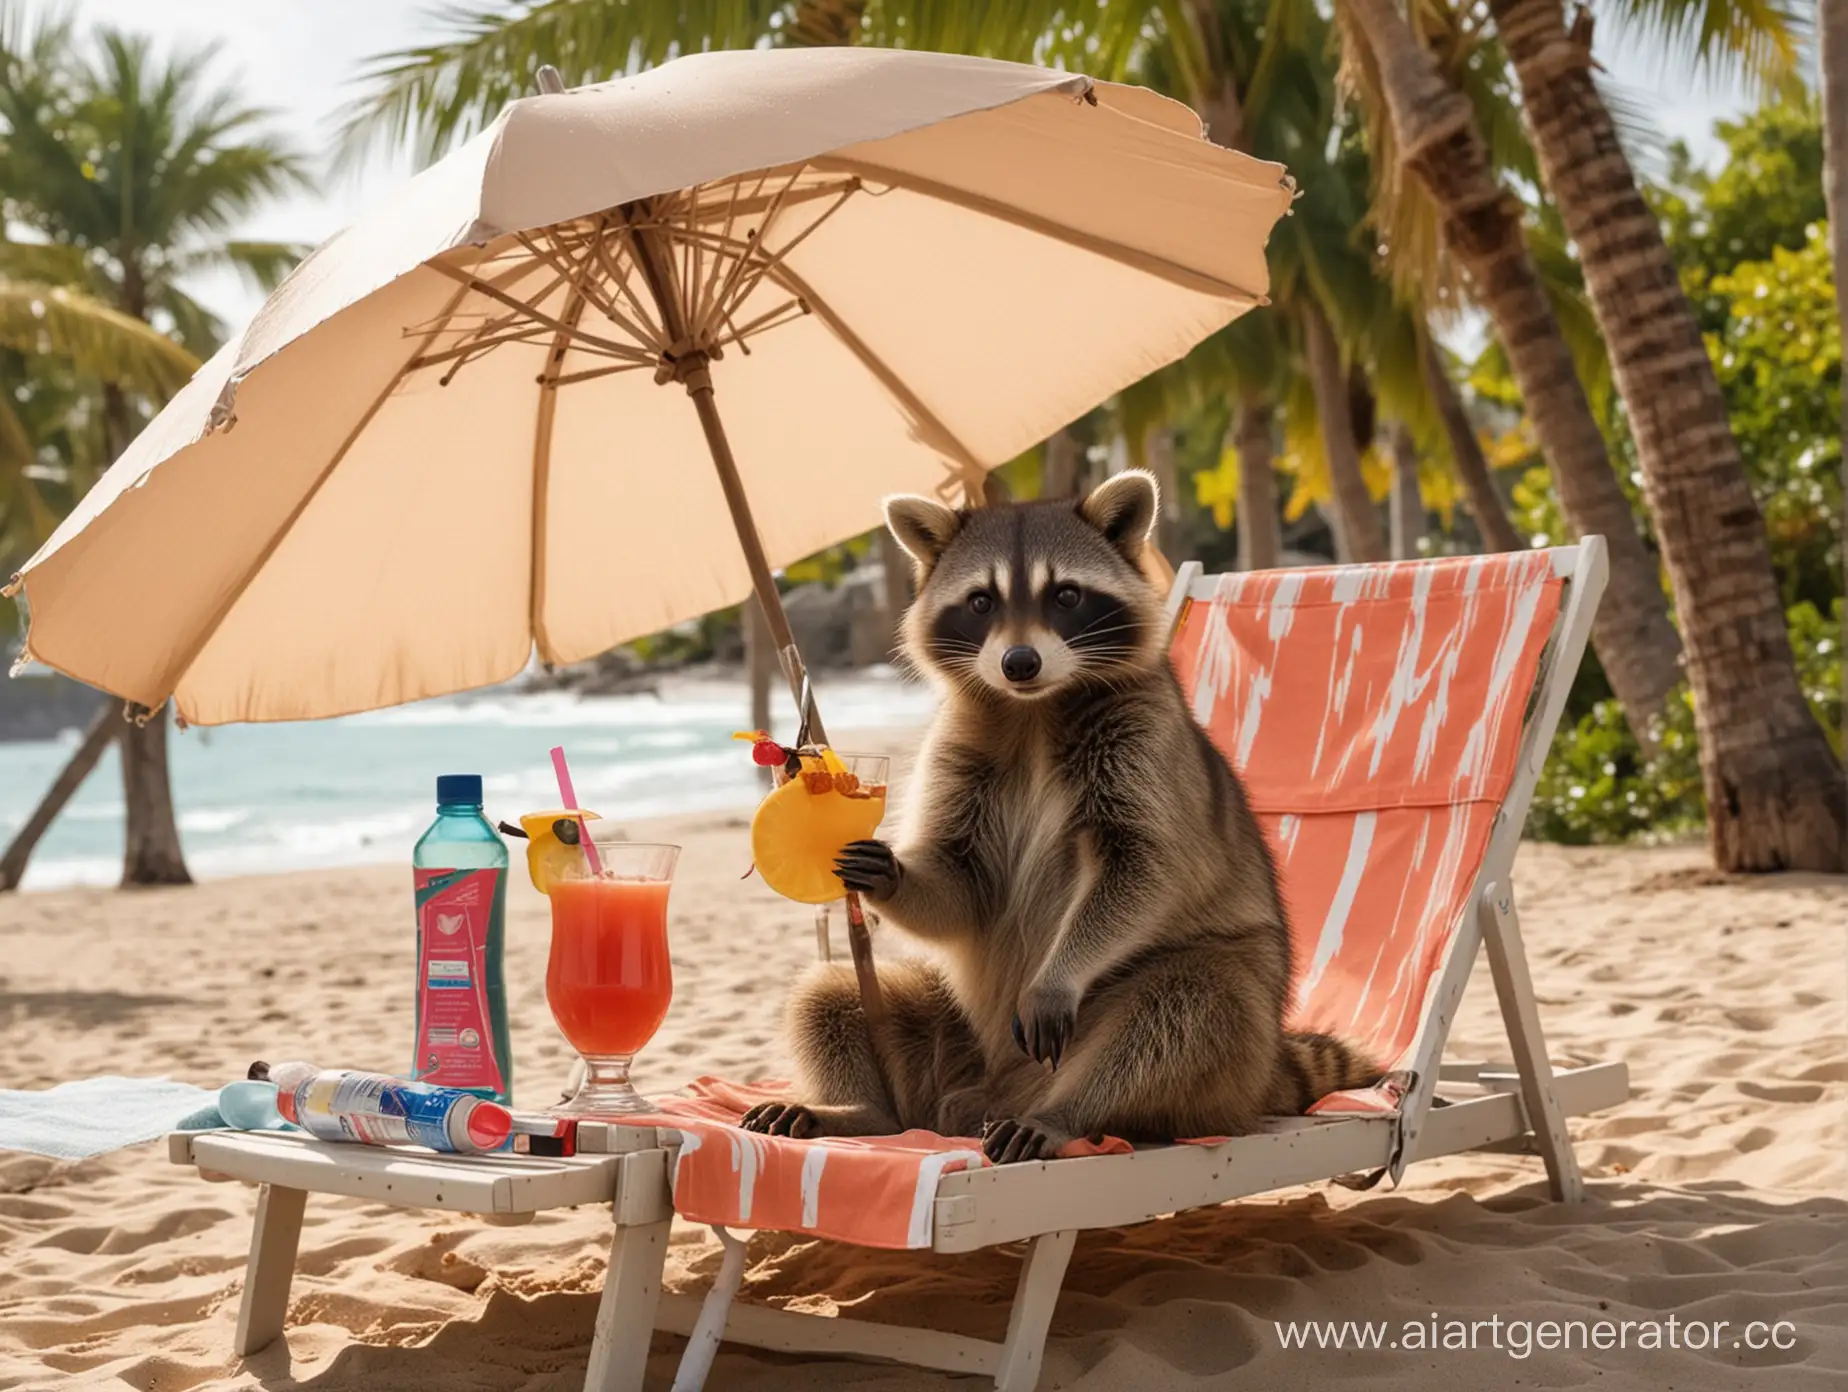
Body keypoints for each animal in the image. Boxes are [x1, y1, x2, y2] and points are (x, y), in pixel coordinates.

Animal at [742, 473, 1382, 1153]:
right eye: (980, 602)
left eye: (1067, 595)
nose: (1019, 662)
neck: (1033, 709)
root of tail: (989, 1095)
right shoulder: (961, 748)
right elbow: (961, 881)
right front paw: (886, 871)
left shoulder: (1146, 746)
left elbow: (1143, 867)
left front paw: (1057, 977)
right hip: (954, 1029)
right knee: (830, 994)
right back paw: (860, 1110)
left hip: (1225, 1026)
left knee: (1185, 1009)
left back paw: (1063, 1113)